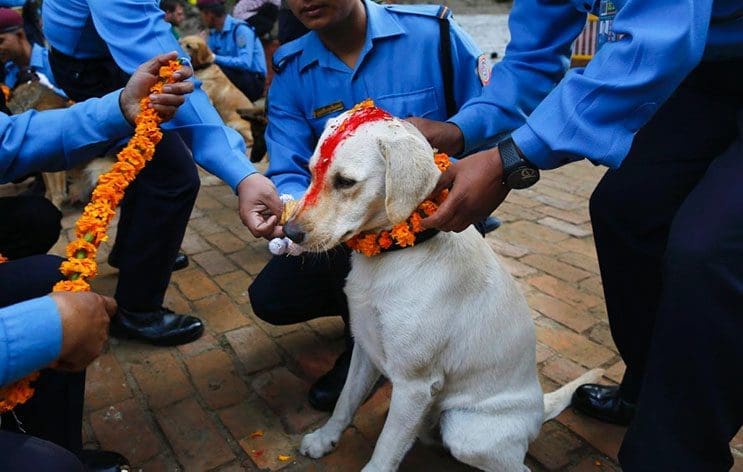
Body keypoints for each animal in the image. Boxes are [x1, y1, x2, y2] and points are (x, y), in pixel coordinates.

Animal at [284, 104, 604, 472]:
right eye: (311, 172)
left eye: (345, 182)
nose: (288, 232)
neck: (397, 254)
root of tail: (539, 405)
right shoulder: (365, 347)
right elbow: (345, 402)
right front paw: (325, 438)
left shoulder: (414, 385)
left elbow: (385, 448)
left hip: (466, 432)